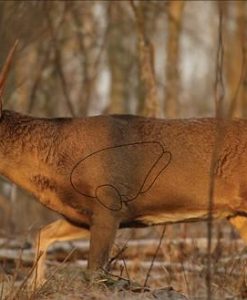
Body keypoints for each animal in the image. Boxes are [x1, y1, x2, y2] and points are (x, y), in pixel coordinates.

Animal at [0, 43, 247, 290]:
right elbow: (42, 234)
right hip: (237, 214)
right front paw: (36, 285)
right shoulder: (79, 216)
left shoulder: (110, 205)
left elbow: (94, 272)